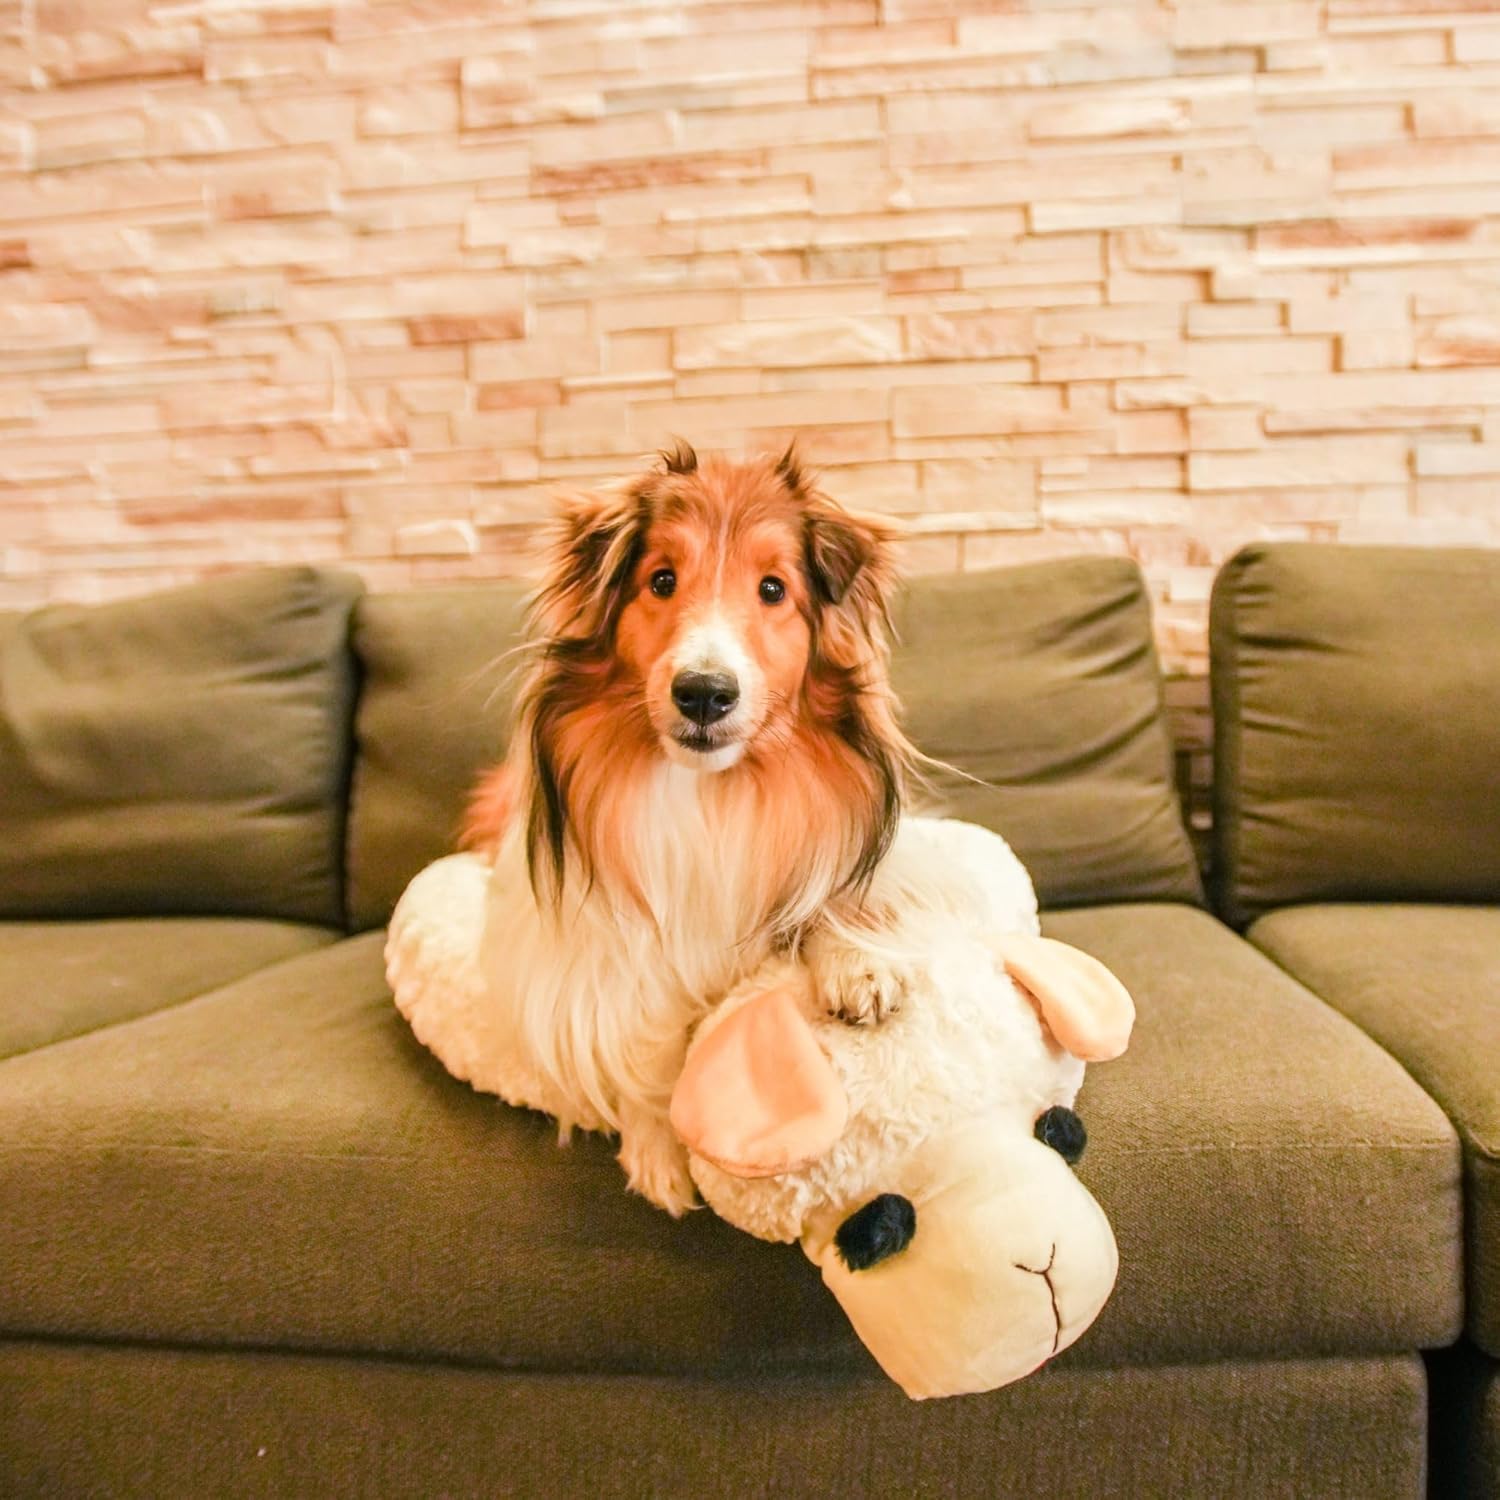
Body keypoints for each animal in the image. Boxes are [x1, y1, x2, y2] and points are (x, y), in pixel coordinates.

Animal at [460, 442, 933, 1215]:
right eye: (661, 580)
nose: (705, 694)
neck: (709, 792)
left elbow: (834, 897)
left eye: (773, 589)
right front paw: (658, 1149)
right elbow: (632, 1030)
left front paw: (858, 962)